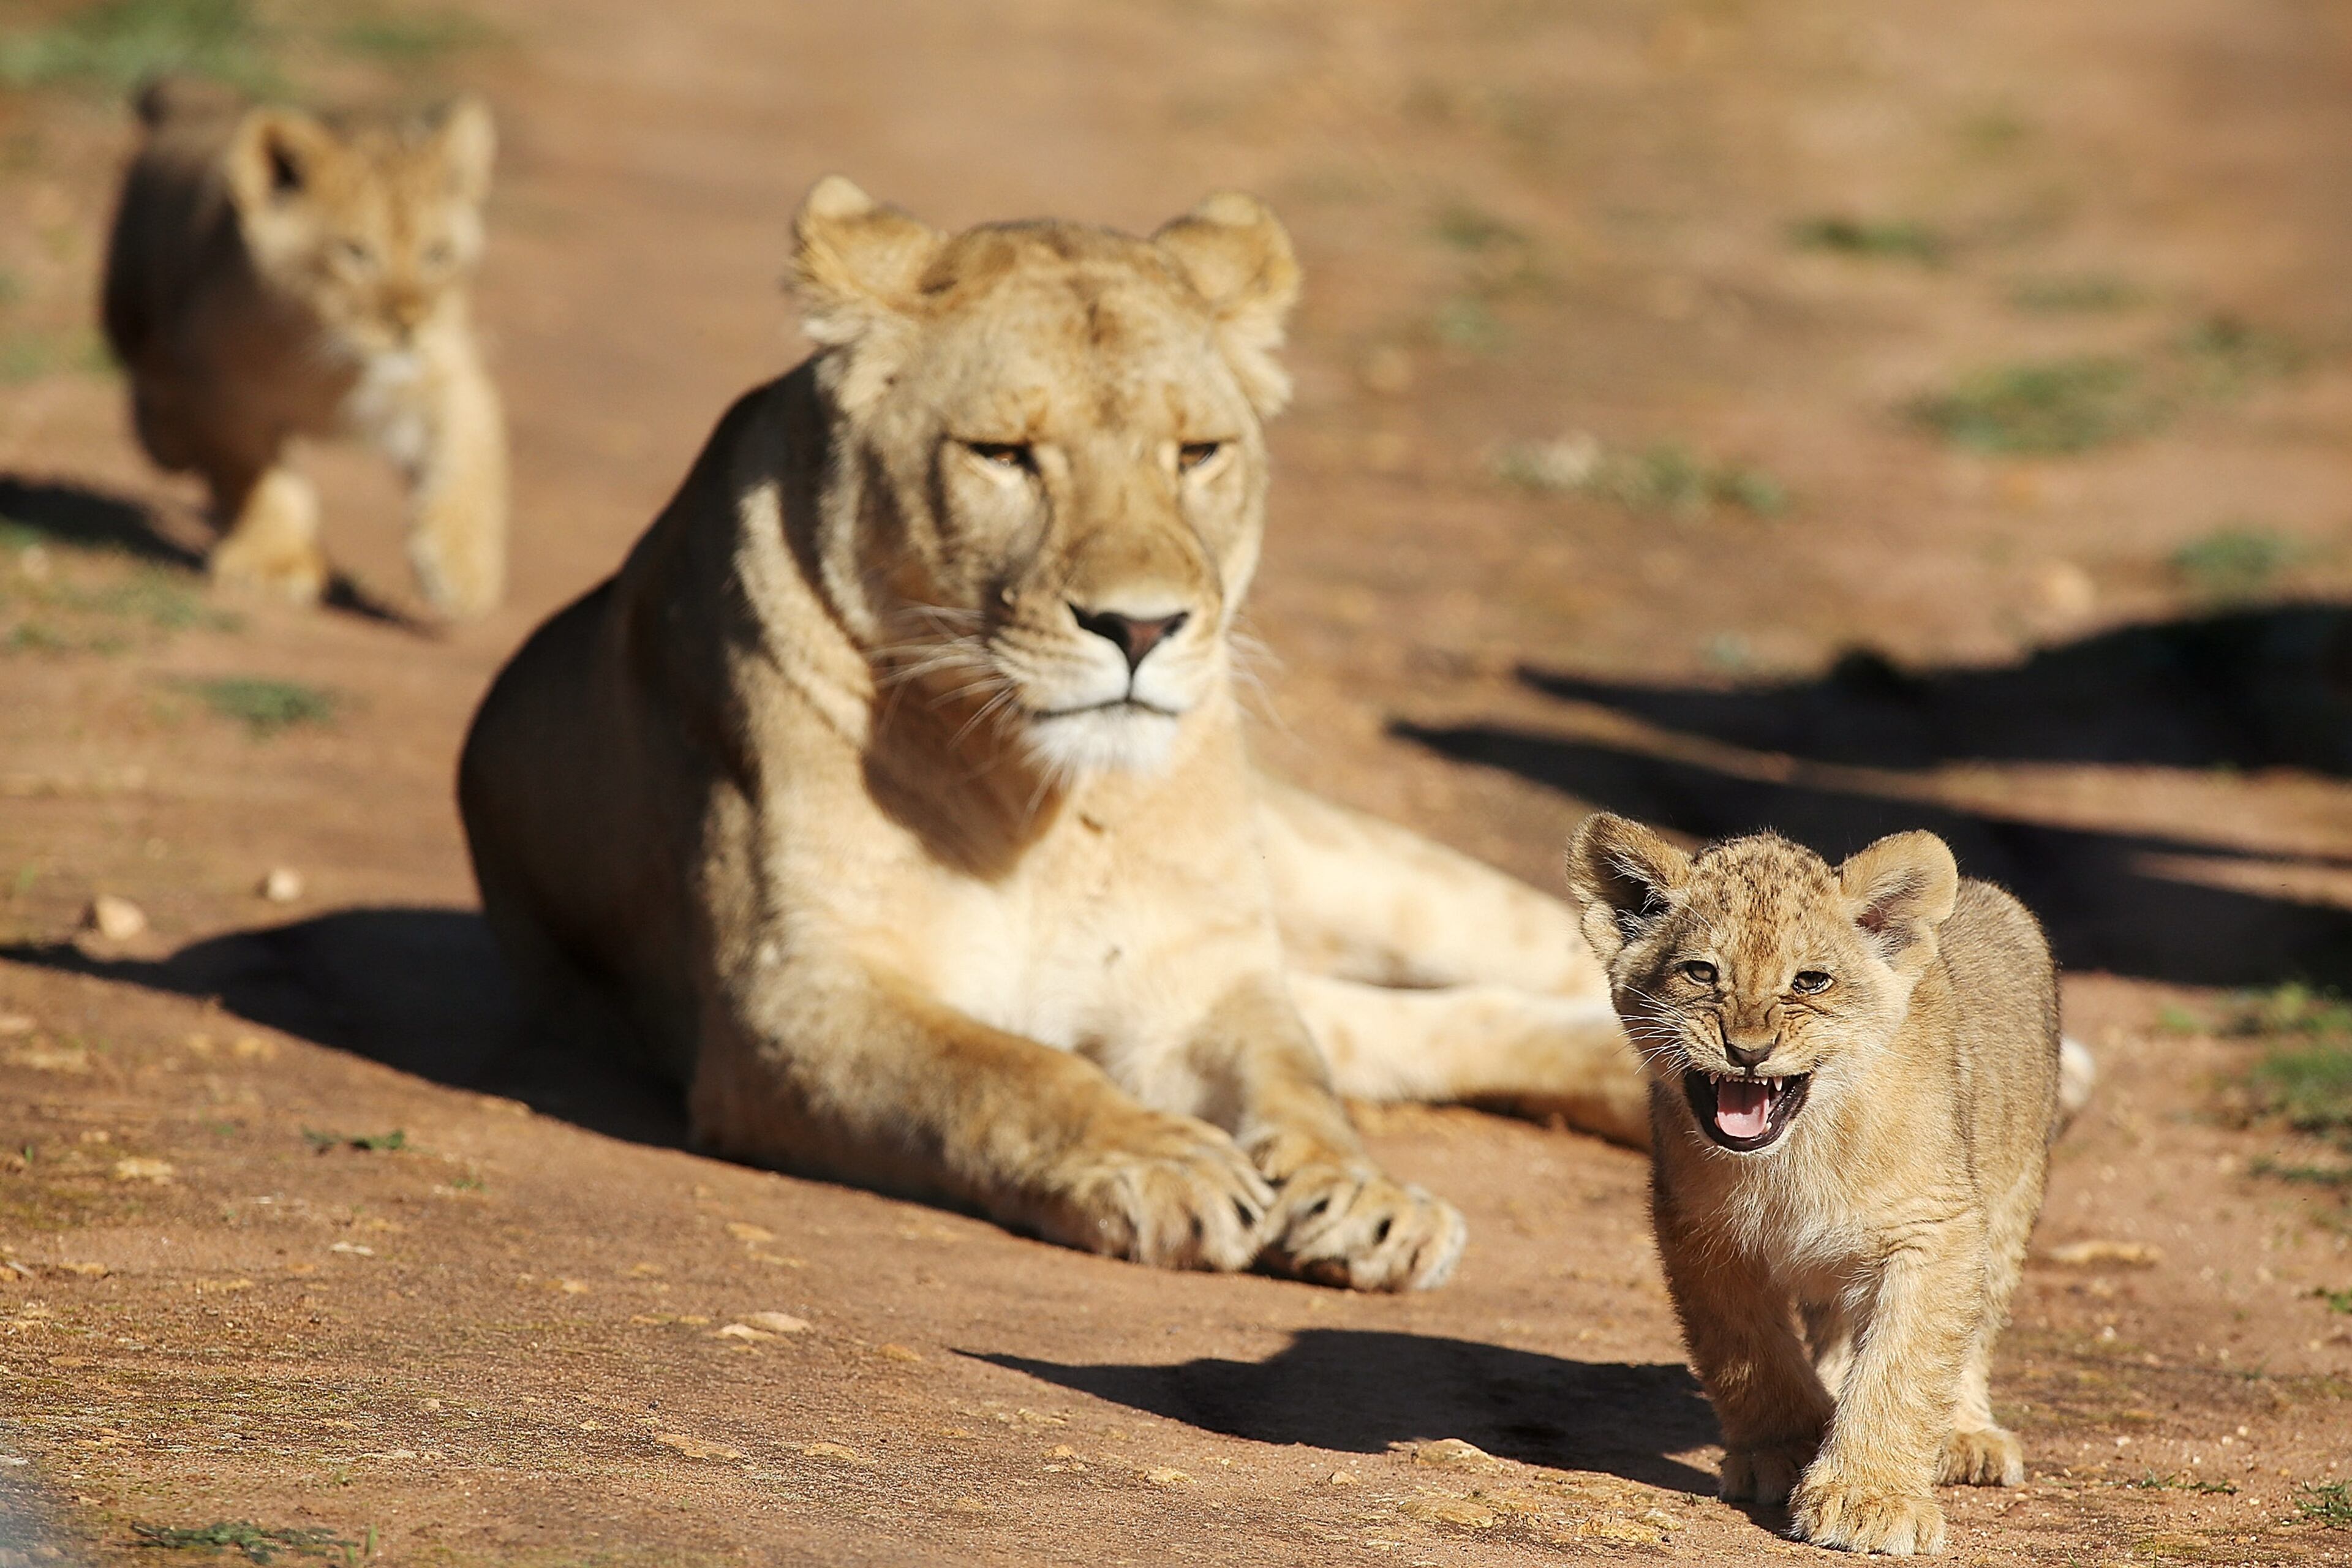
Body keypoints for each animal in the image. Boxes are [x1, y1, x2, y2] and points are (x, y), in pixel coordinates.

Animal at [101, 77, 508, 618]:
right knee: (152, 390)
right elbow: (258, 479)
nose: (408, 323)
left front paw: (465, 570)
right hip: (128, 307)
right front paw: (274, 563)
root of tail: (204, 105)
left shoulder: (444, 374)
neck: (331, 367)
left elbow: (469, 459)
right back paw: (166, 435)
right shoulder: (222, 393)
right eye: (356, 253)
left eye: (437, 254)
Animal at [457, 178, 1648, 1292]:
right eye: (1002, 454)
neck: (1044, 805)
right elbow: (999, 1072)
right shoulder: (784, 998)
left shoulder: (1200, 978)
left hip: (1364, 880)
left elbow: (1296, 1085)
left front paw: (1361, 1195)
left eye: (1198, 453)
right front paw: (1159, 1162)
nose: (1142, 628)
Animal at [1567, 814, 2067, 1555]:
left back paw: (1966, 1436)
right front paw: (1786, 1449)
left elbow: (1906, 1363)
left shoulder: (1934, 1229)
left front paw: (1870, 1497)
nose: (1748, 1051)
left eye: (1810, 981)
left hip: (2011, 1197)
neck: (1792, 1158)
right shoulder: (1700, 1234)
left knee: (1973, 1329)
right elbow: (1748, 1354)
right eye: (1701, 972)